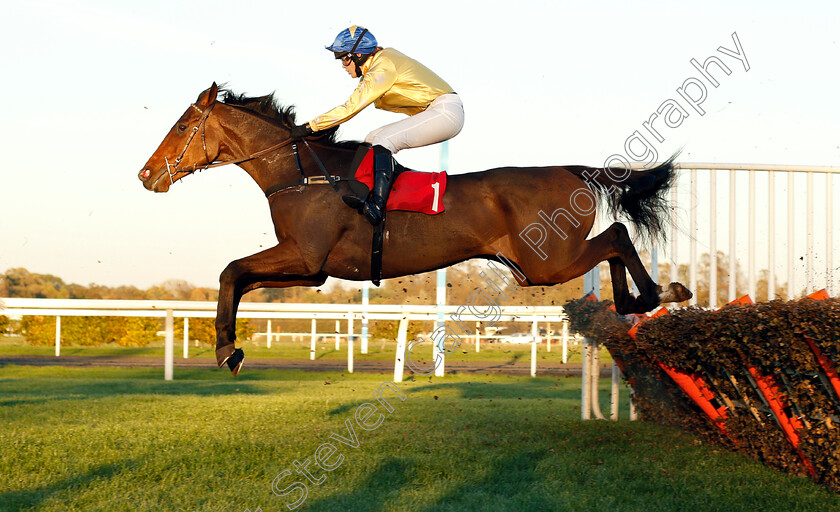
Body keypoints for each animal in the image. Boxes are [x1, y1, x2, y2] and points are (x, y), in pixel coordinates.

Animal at [138, 83, 688, 372]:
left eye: (183, 127)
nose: (146, 175)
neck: (301, 172)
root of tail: (570, 170)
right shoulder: (310, 269)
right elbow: (238, 280)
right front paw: (229, 345)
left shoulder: (305, 255)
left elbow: (231, 270)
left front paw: (226, 350)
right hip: (539, 265)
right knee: (614, 242)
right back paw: (633, 301)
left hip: (545, 262)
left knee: (616, 236)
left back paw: (657, 292)